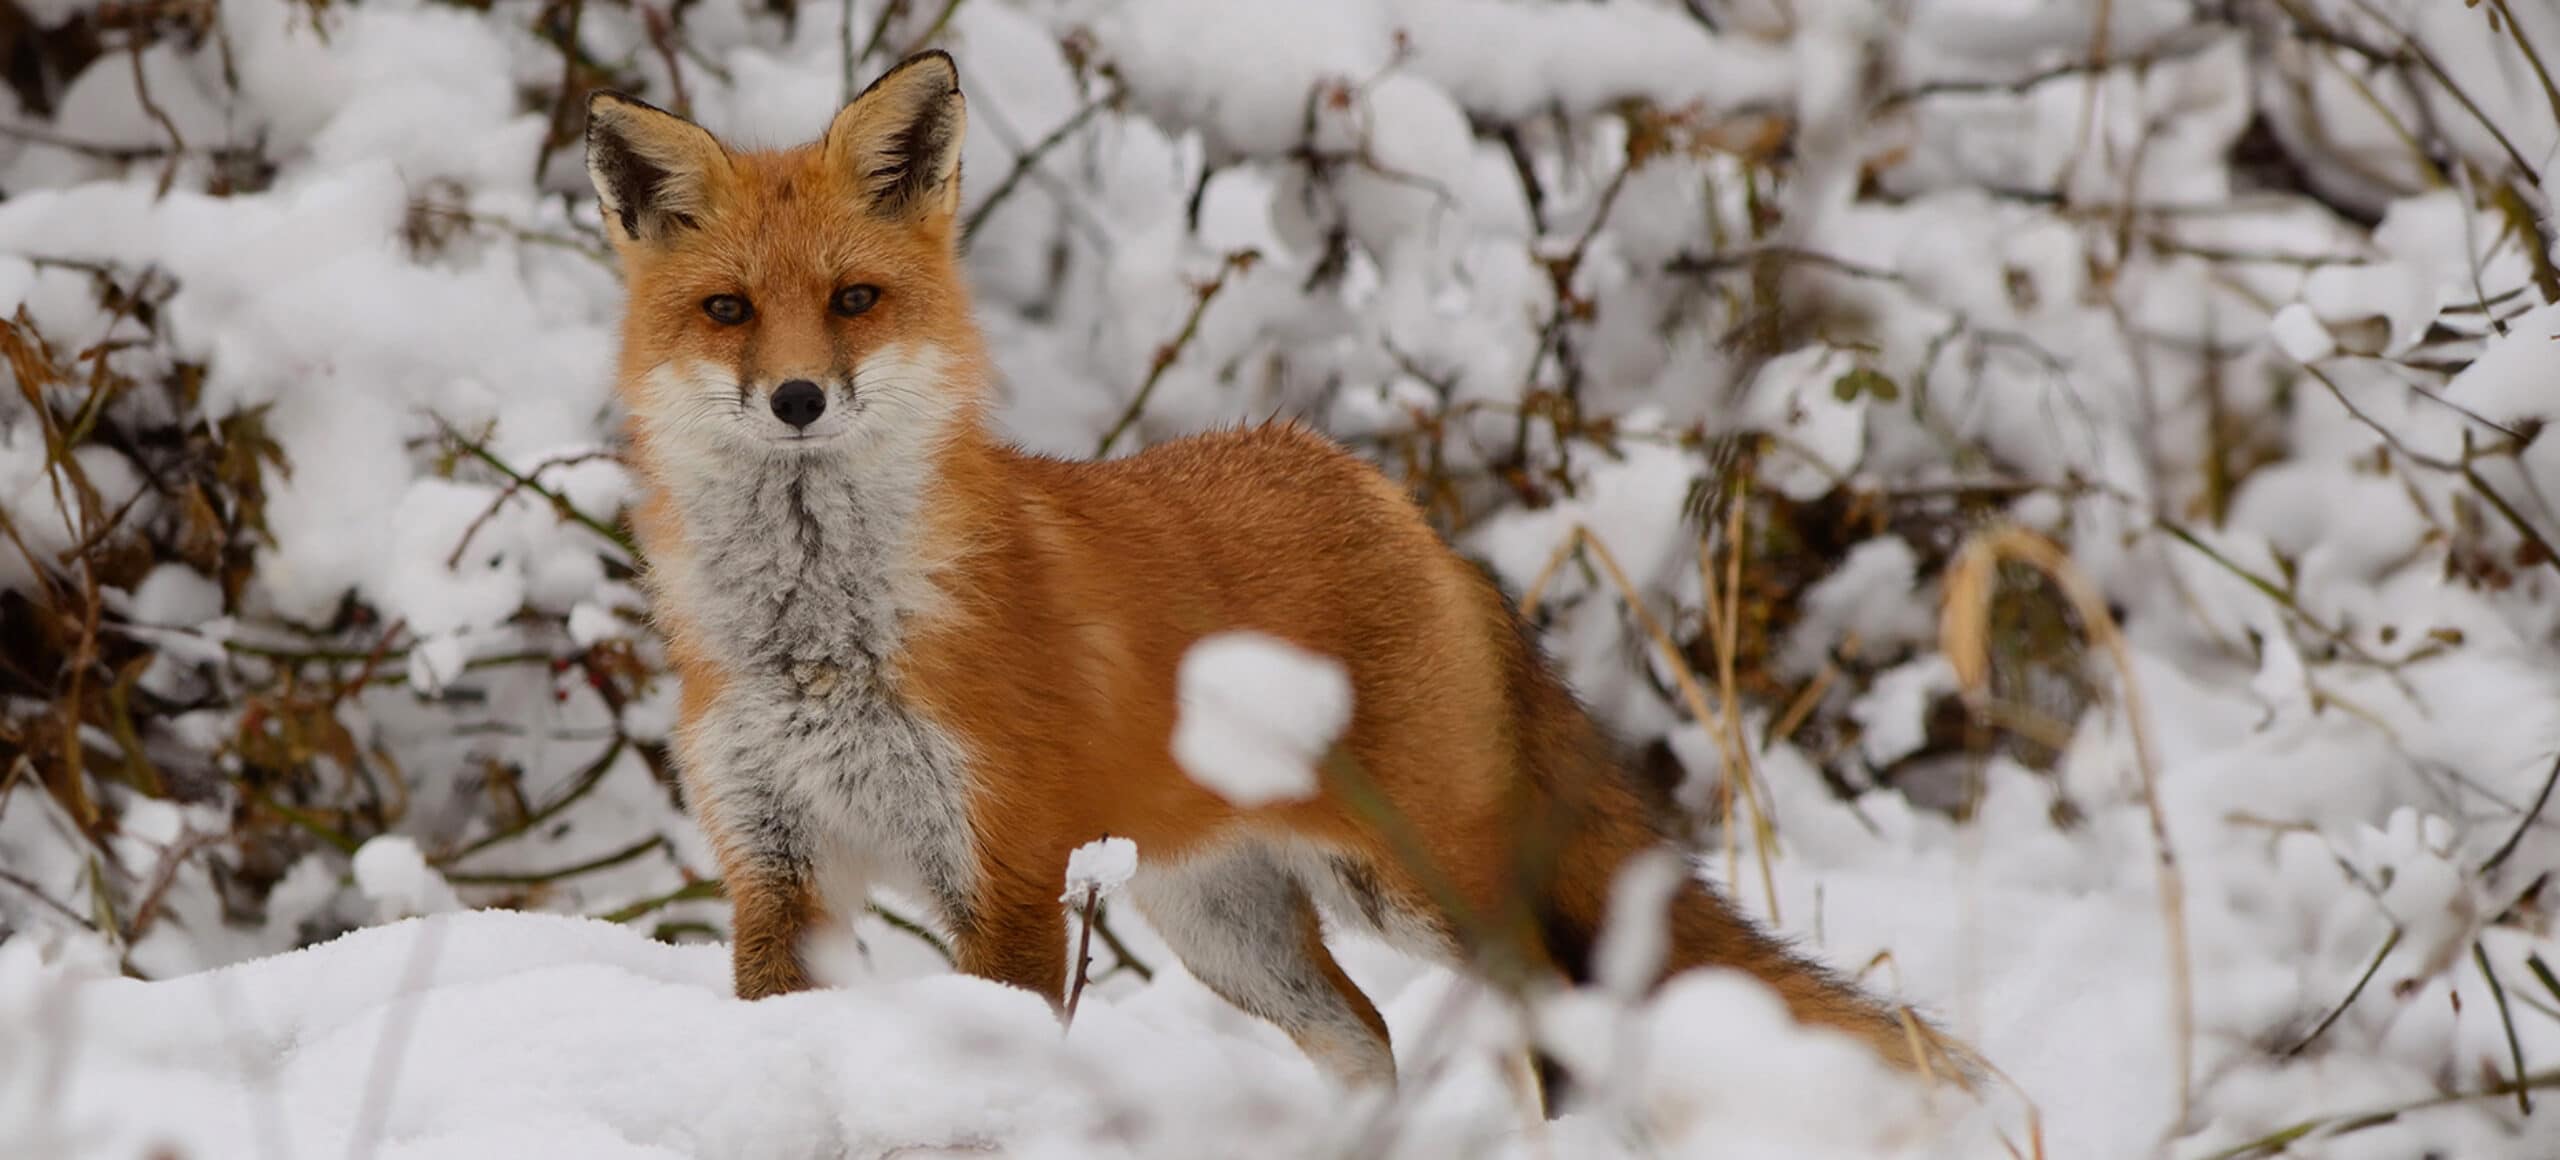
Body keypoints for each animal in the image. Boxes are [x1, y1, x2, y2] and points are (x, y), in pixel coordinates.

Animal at [586, 49, 1955, 1101]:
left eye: (855, 298)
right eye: (727, 310)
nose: (797, 399)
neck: (819, 639)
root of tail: (1388, 496)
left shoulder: (1005, 872)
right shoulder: (778, 866)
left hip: (1418, 883)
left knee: (1550, 1016)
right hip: (1225, 925)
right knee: (1369, 1035)